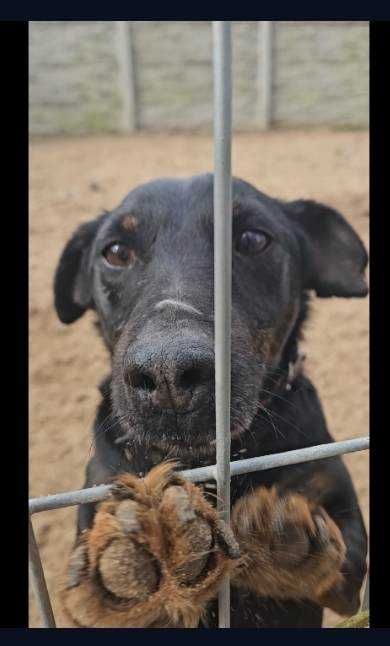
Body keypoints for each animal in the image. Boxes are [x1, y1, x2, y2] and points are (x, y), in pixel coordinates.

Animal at [54, 175, 368, 632]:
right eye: (115, 252)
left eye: (253, 239)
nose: (168, 373)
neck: (202, 462)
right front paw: (142, 554)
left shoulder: (346, 553)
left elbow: (345, 557)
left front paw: (279, 545)